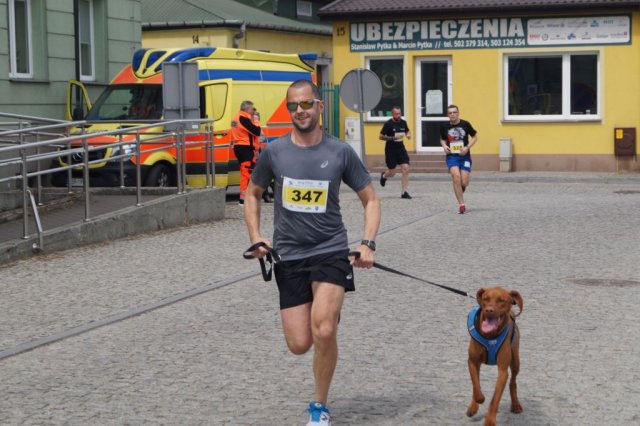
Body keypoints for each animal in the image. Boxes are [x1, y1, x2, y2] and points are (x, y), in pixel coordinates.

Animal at [466, 287, 523, 426]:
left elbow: (495, 399)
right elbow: (476, 385)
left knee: (513, 382)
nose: (488, 310)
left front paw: (490, 420)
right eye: (485, 298)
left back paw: (516, 405)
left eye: (501, 300)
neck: (490, 336)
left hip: (515, 362)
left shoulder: (503, 372)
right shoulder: (472, 362)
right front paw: (477, 402)